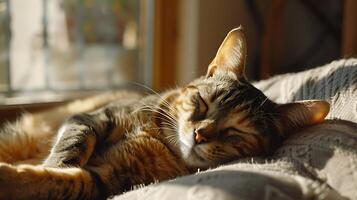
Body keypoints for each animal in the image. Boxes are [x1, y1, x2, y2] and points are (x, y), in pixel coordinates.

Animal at [0, 27, 328, 200]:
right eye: (203, 103)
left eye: (236, 131)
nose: (199, 133)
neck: (160, 140)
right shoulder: (92, 117)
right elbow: (71, 147)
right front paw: (55, 163)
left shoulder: (107, 178)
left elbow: (62, 181)